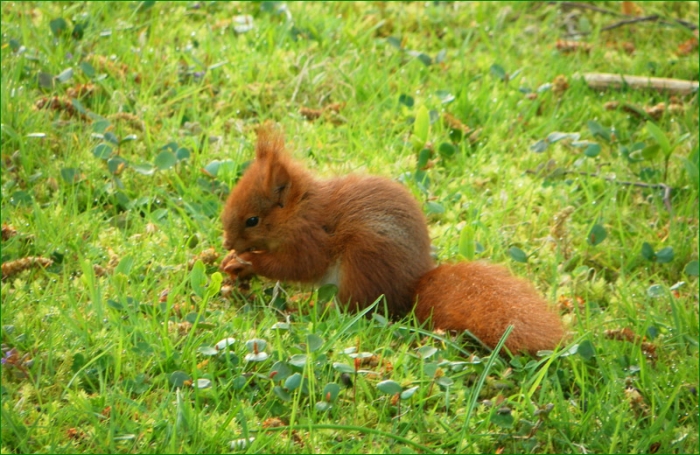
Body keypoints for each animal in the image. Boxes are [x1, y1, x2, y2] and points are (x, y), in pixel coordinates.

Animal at [220, 125, 565, 355]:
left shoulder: (312, 238)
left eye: (252, 220)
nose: (227, 244)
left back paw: (306, 305)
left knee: (353, 307)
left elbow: (298, 266)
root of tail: (409, 289)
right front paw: (233, 264)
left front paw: (249, 261)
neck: (300, 210)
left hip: (362, 262)